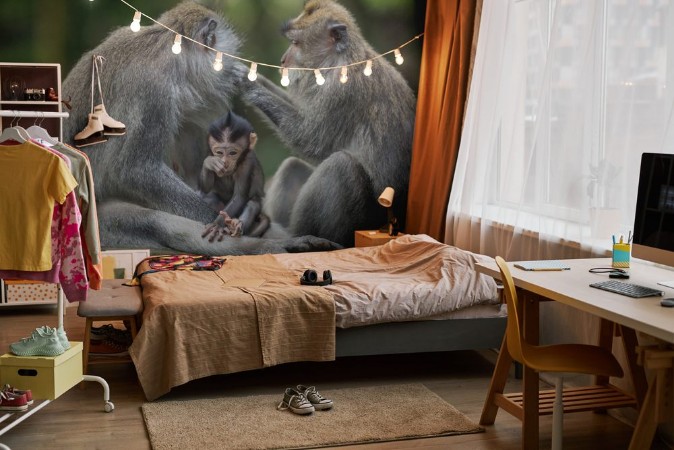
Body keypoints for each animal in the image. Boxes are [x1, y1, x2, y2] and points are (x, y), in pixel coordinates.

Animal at [199, 111, 271, 240]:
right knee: (209, 197)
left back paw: (234, 225)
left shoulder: (248, 161)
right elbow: (205, 189)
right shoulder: (207, 152)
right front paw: (209, 163)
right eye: (219, 153)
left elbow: (240, 196)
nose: (225, 162)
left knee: (252, 204)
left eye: (232, 153)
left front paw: (217, 224)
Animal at [240, 0, 417, 247]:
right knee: (293, 166)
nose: (283, 60)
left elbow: (312, 140)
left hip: (362, 222)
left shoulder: (342, 91)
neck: (339, 61)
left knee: (341, 165)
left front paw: (246, 84)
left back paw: (307, 238)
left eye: (295, 43)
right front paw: (249, 74)